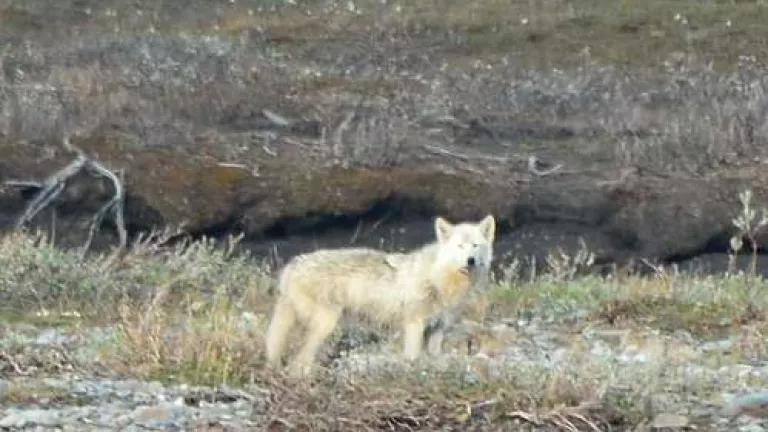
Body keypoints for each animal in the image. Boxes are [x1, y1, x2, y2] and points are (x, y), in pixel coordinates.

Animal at [264, 215, 495, 377]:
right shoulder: (414, 324)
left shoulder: (438, 329)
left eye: (475, 245)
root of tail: (292, 266)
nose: (471, 260)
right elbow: (412, 357)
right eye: (460, 246)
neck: (440, 278)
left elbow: (434, 358)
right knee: (299, 361)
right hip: (326, 324)